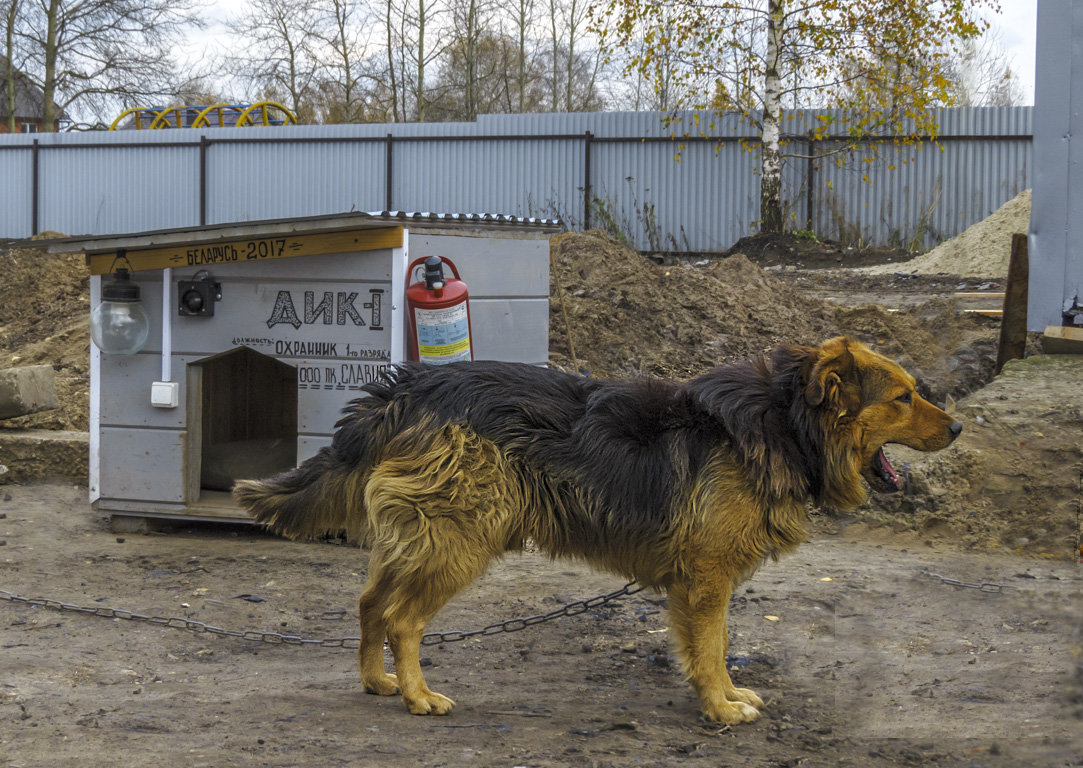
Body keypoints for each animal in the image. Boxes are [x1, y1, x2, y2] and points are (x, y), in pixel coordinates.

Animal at [232, 333, 961, 719]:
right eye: (903, 398)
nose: (957, 427)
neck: (784, 420)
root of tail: (406, 387)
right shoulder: (706, 580)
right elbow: (711, 647)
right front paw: (719, 708)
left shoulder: (701, 582)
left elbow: (715, 647)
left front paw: (727, 696)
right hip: (457, 540)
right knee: (403, 620)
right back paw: (417, 695)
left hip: (418, 539)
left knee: (369, 604)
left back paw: (377, 682)